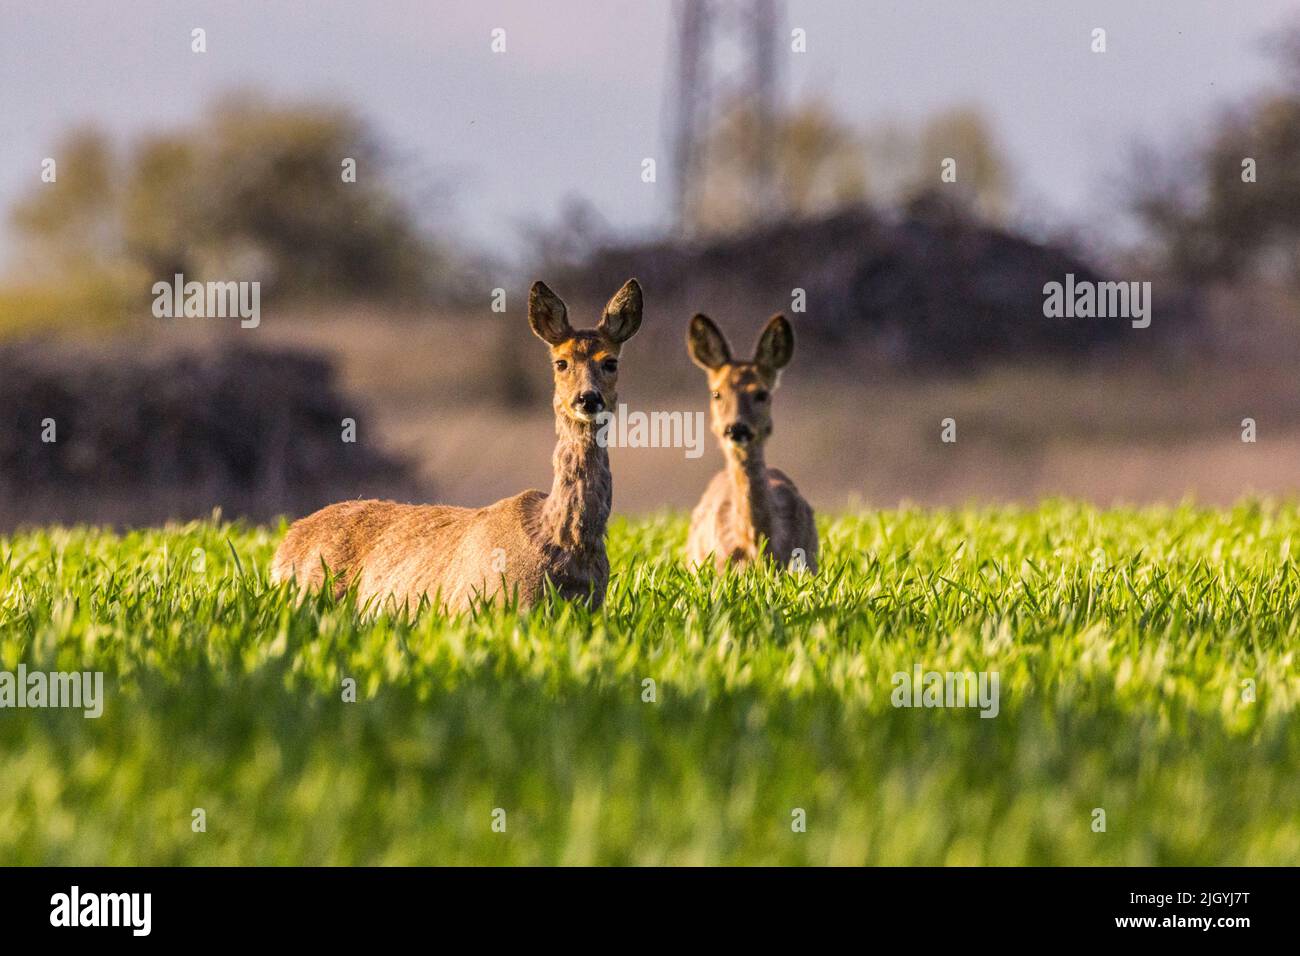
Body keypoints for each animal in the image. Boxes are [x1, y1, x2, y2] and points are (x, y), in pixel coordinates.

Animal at [270, 277, 644, 613]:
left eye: (610, 362)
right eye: (561, 362)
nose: (588, 398)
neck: (564, 544)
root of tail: (284, 544)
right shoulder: (477, 607)